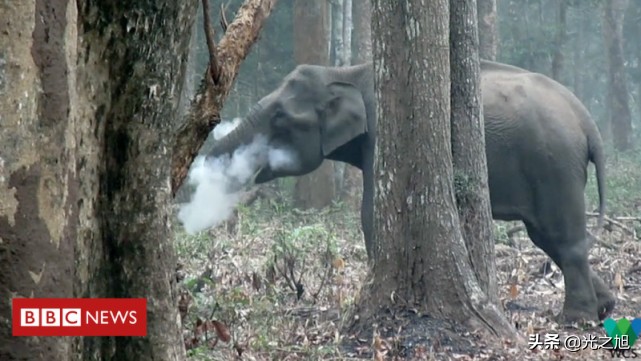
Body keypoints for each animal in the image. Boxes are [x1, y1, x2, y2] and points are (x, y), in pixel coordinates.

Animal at [208, 60, 612, 322]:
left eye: (279, 117)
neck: (345, 72)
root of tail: (588, 122)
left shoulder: (382, 135)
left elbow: (371, 213)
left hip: (554, 165)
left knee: (563, 238)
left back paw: (576, 320)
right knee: (548, 238)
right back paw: (605, 307)